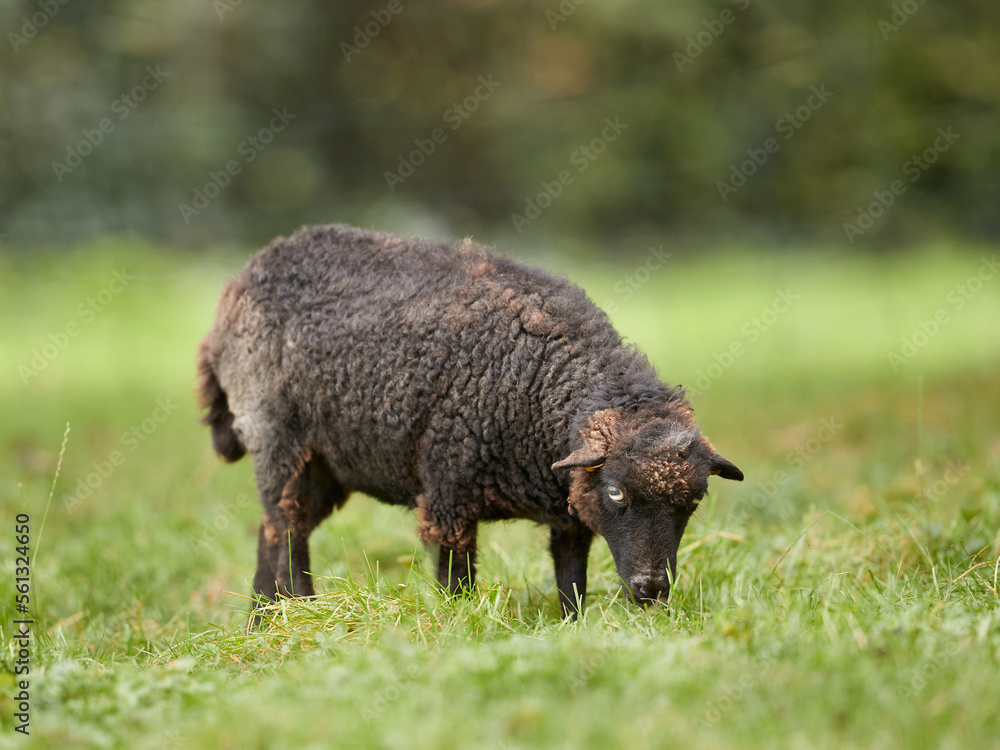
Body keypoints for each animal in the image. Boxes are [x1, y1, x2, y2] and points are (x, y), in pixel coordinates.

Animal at [196, 224, 743, 624]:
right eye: (617, 494)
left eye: (693, 502)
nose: (651, 591)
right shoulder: (448, 492)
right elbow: (456, 580)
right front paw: (458, 629)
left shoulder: (568, 508)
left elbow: (572, 581)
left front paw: (575, 630)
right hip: (277, 436)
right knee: (287, 529)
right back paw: (305, 612)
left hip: (328, 464)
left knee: (274, 530)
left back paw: (264, 624)